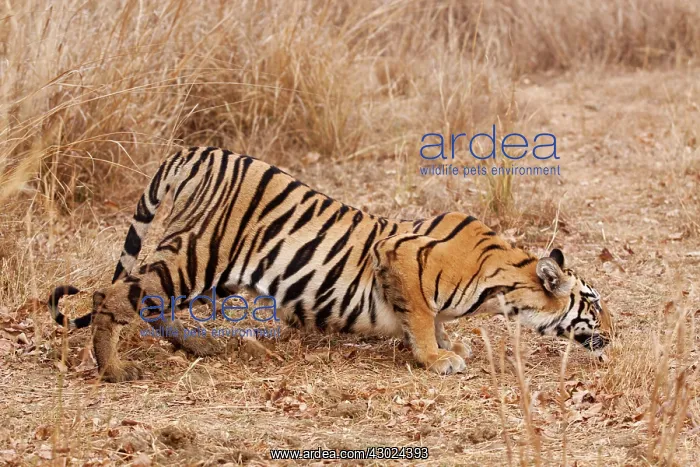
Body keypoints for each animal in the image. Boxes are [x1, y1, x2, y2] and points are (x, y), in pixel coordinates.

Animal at [47, 147, 612, 382]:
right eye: (594, 303)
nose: (614, 334)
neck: (504, 284)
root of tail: (195, 151)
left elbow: (429, 319)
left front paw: (447, 346)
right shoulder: (401, 256)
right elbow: (422, 316)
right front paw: (437, 358)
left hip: (212, 273)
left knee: (147, 302)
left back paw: (200, 345)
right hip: (198, 256)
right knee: (111, 295)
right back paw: (114, 369)